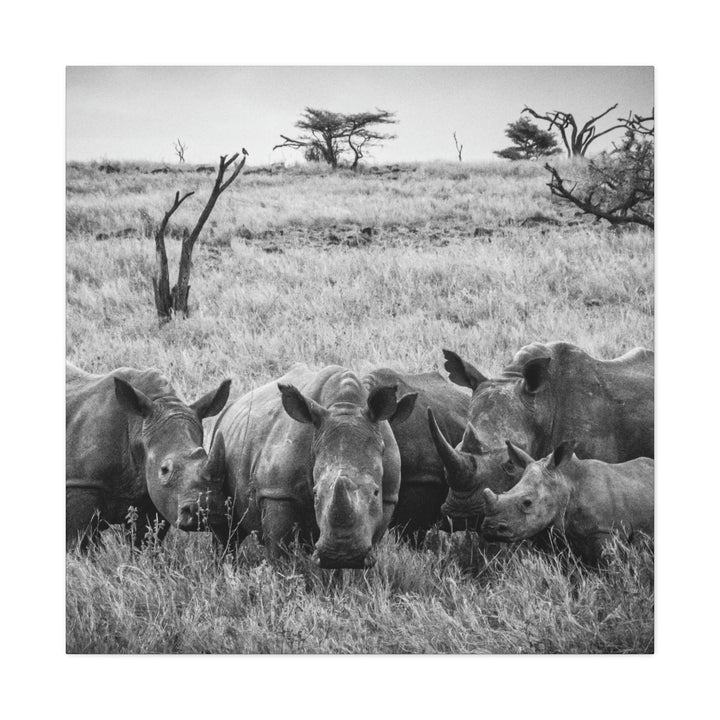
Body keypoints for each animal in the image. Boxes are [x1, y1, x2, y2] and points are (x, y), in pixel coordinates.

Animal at [67, 362, 231, 548]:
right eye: (164, 470)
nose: (205, 511)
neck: (137, 426)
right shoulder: (82, 483)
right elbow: (79, 544)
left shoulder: (154, 496)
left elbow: (144, 541)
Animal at [210, 366, 416, 568]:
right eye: (316, 493)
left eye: (375, 492)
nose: (343, 556)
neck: (345, 406)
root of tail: (231, 405)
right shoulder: (277, 492)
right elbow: (278, 548)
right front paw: (281, 574)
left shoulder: (388, 495)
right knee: (226, 526)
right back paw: (223, 565)